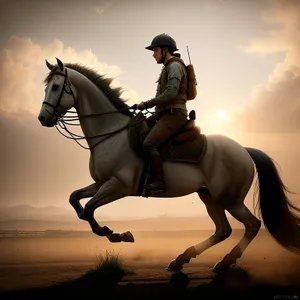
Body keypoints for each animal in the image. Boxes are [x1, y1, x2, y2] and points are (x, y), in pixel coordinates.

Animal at [37, 57, 300, 274]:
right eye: (47, 87)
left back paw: (225, 261)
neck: (110, 133)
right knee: (223, 230)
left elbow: (90, 208)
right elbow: (76, 201)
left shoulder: (118, 186)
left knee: (252, 225)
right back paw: (181, 260)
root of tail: (244, 150)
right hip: (209, 197)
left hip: (230, 200)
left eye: (56, 87)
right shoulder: (101, 183)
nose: (42, 118)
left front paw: (116, 234)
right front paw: (114, 233)